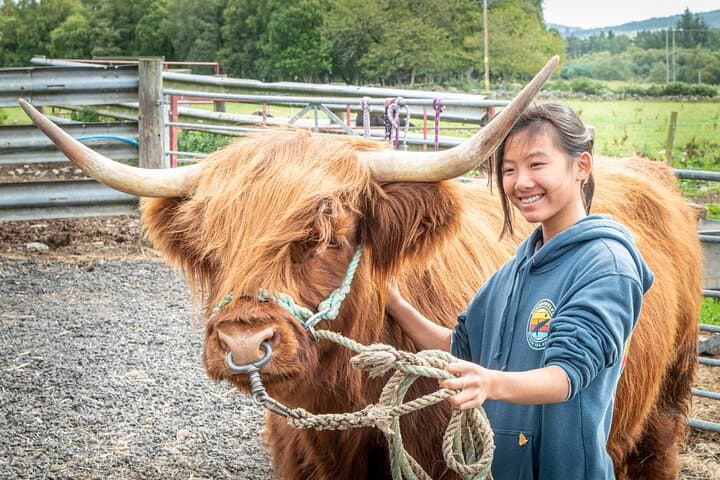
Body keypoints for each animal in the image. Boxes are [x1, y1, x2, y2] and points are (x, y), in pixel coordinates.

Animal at [18, 56, 702, 480]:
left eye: (330, 234)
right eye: (214, 244)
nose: (243, 342)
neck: (343, 408)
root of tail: (651, 171)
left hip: (668, 399)